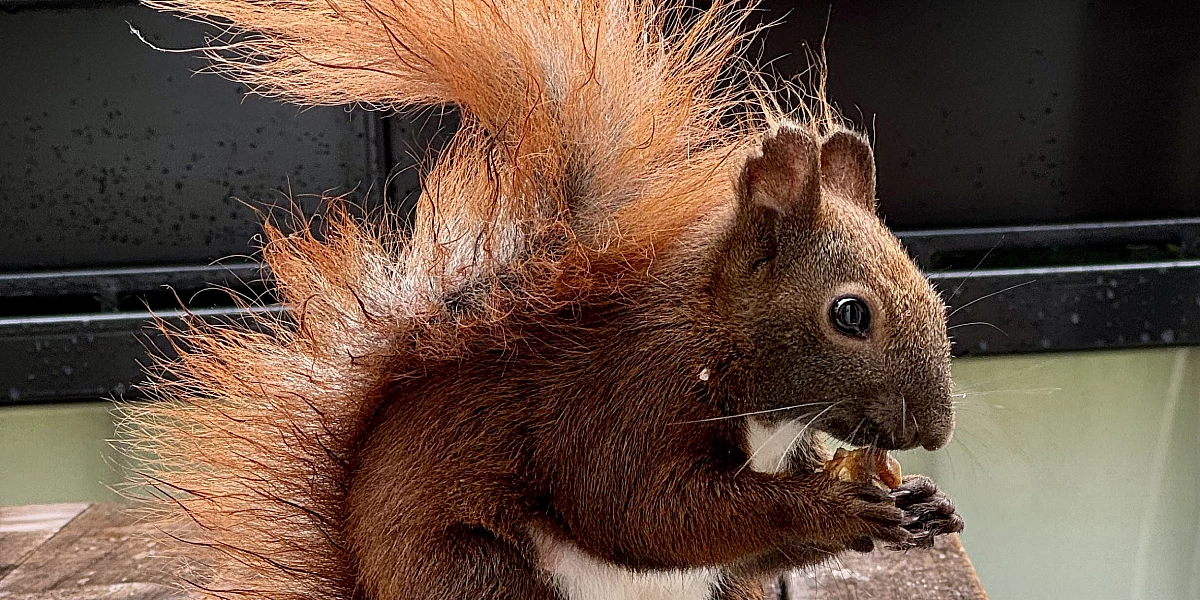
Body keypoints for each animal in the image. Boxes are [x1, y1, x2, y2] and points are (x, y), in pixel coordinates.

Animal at [121, 1, 964, 600]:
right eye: (850, 314)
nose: (935, 430)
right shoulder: (624, 402)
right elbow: (643, 510)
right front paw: (830, 505)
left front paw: (921, 505)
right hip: (474, 575)